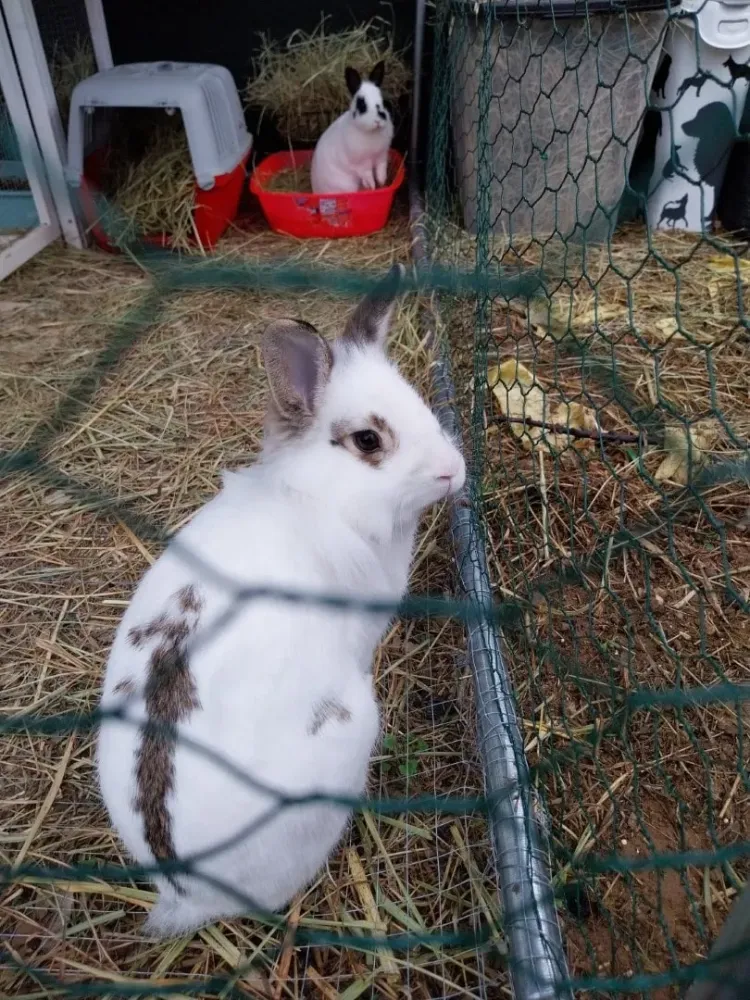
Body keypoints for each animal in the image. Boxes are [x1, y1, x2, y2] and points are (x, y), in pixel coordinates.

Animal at [310, 61, 394, 194]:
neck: (372, 132)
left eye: (384, 101)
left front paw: (382, 182)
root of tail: (316, 190)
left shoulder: (381, 156)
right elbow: (368, 175)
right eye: (361, 105)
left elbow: (381, 170)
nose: (378, 120)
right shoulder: (361, 164)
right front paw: (372, 186)